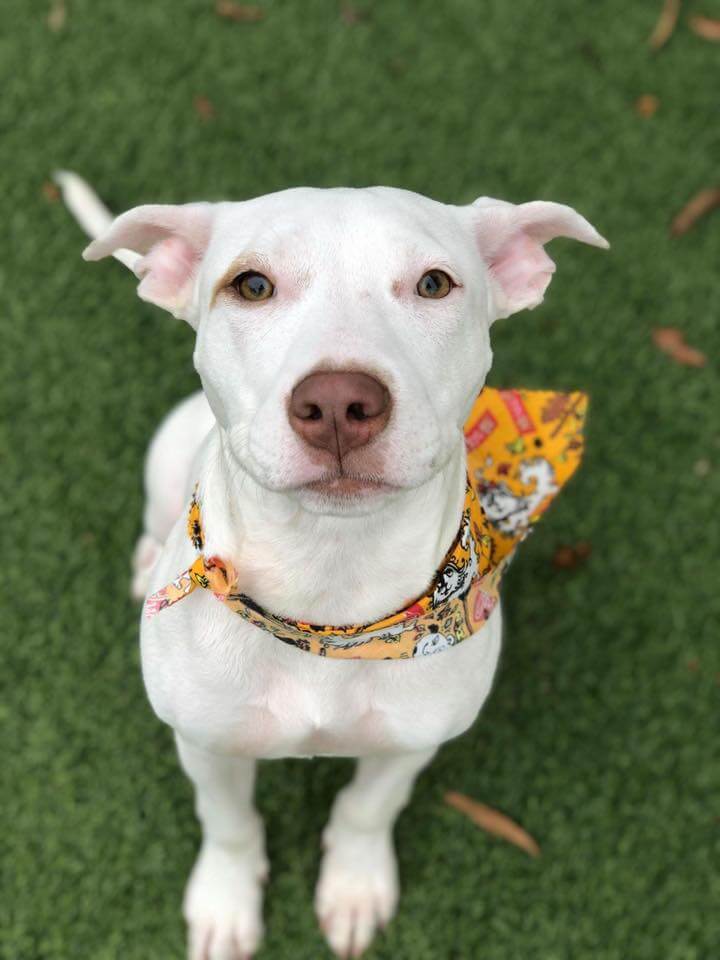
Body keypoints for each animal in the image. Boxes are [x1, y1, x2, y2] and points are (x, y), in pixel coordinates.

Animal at [57, 172, 608, 960]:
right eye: (251, 285)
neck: (330, 591)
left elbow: (368, 808)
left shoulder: (413, 742)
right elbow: (228, 824)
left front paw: (354, 887)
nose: (340, 402)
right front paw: (225, 903)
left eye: (434, 283)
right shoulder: (206, 745)